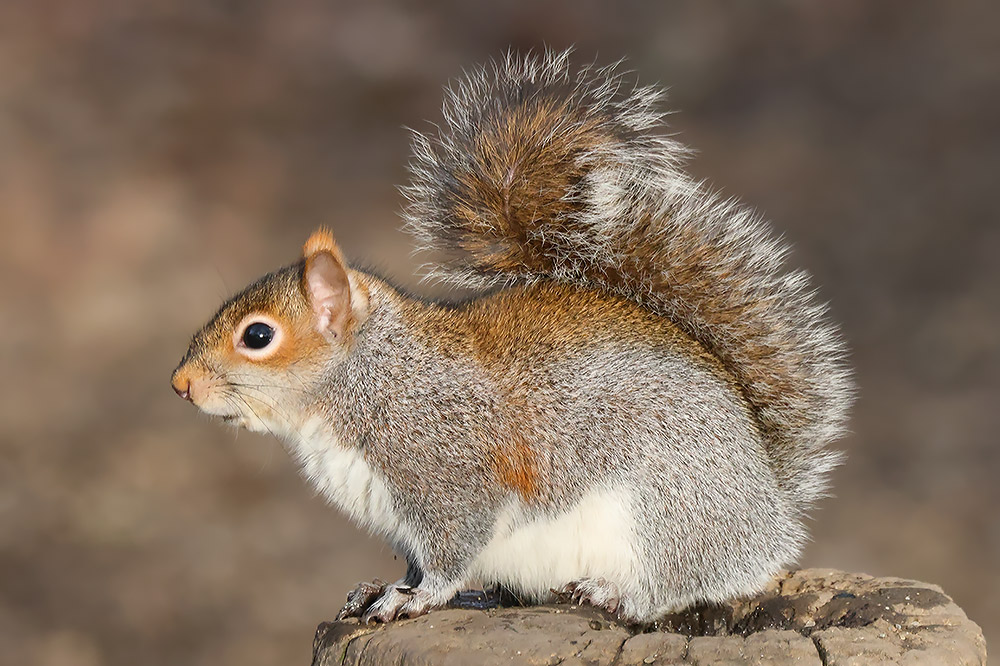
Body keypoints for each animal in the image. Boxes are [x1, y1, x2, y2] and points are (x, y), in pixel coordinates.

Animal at [171, 50, 852, 624]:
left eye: (258, 335)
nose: (180, 384)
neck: (371, 380)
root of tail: (770, 514)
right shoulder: (401, 517)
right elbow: (418, 560)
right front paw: (382, 589)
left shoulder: (450, 476)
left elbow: (450, 555)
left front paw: (415, 599)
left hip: (668, 511)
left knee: (681, 581)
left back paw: (616, 593)